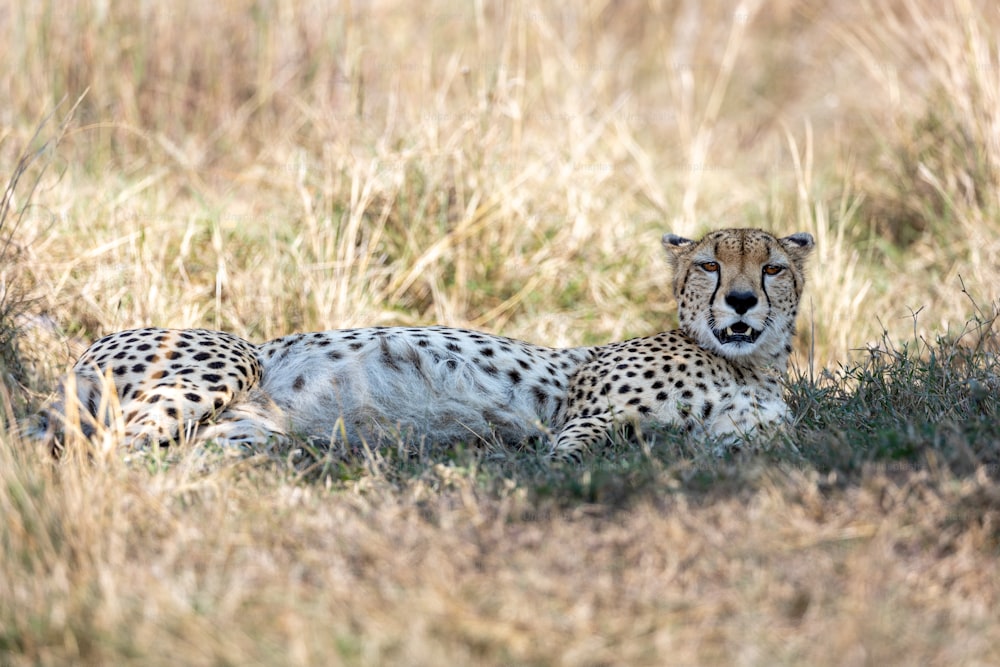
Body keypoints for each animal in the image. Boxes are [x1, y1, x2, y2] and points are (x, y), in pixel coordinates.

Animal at [39, 227, 812, 462]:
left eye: (770, 266)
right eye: (709, 263)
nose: (741, 301)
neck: (745, 365)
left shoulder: (745, 436)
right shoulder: (583, 413)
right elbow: (579, 441)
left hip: (246, 429)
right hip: (225, 362)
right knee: (105, 454)